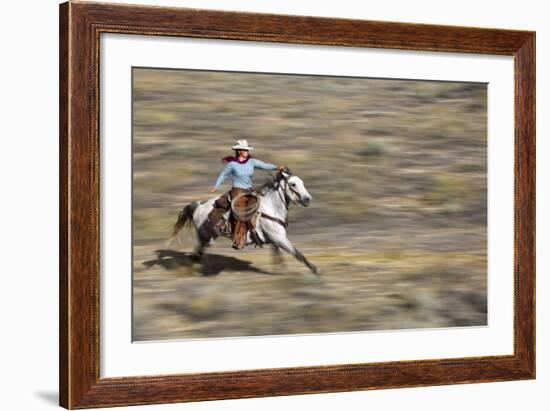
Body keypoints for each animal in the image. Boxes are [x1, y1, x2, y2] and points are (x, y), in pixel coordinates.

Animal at [170, 171, 322, 276]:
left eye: (302, 182)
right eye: (293, 184)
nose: (307, 199)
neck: (271, 208)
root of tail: (198, 205)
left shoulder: (275, 240)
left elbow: (278, 256)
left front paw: (281, 271)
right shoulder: (280, 239)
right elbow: (298, 254)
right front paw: (316, 271)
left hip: (208, 238)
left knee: (199, 254)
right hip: (206, 237)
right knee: (199, 254)